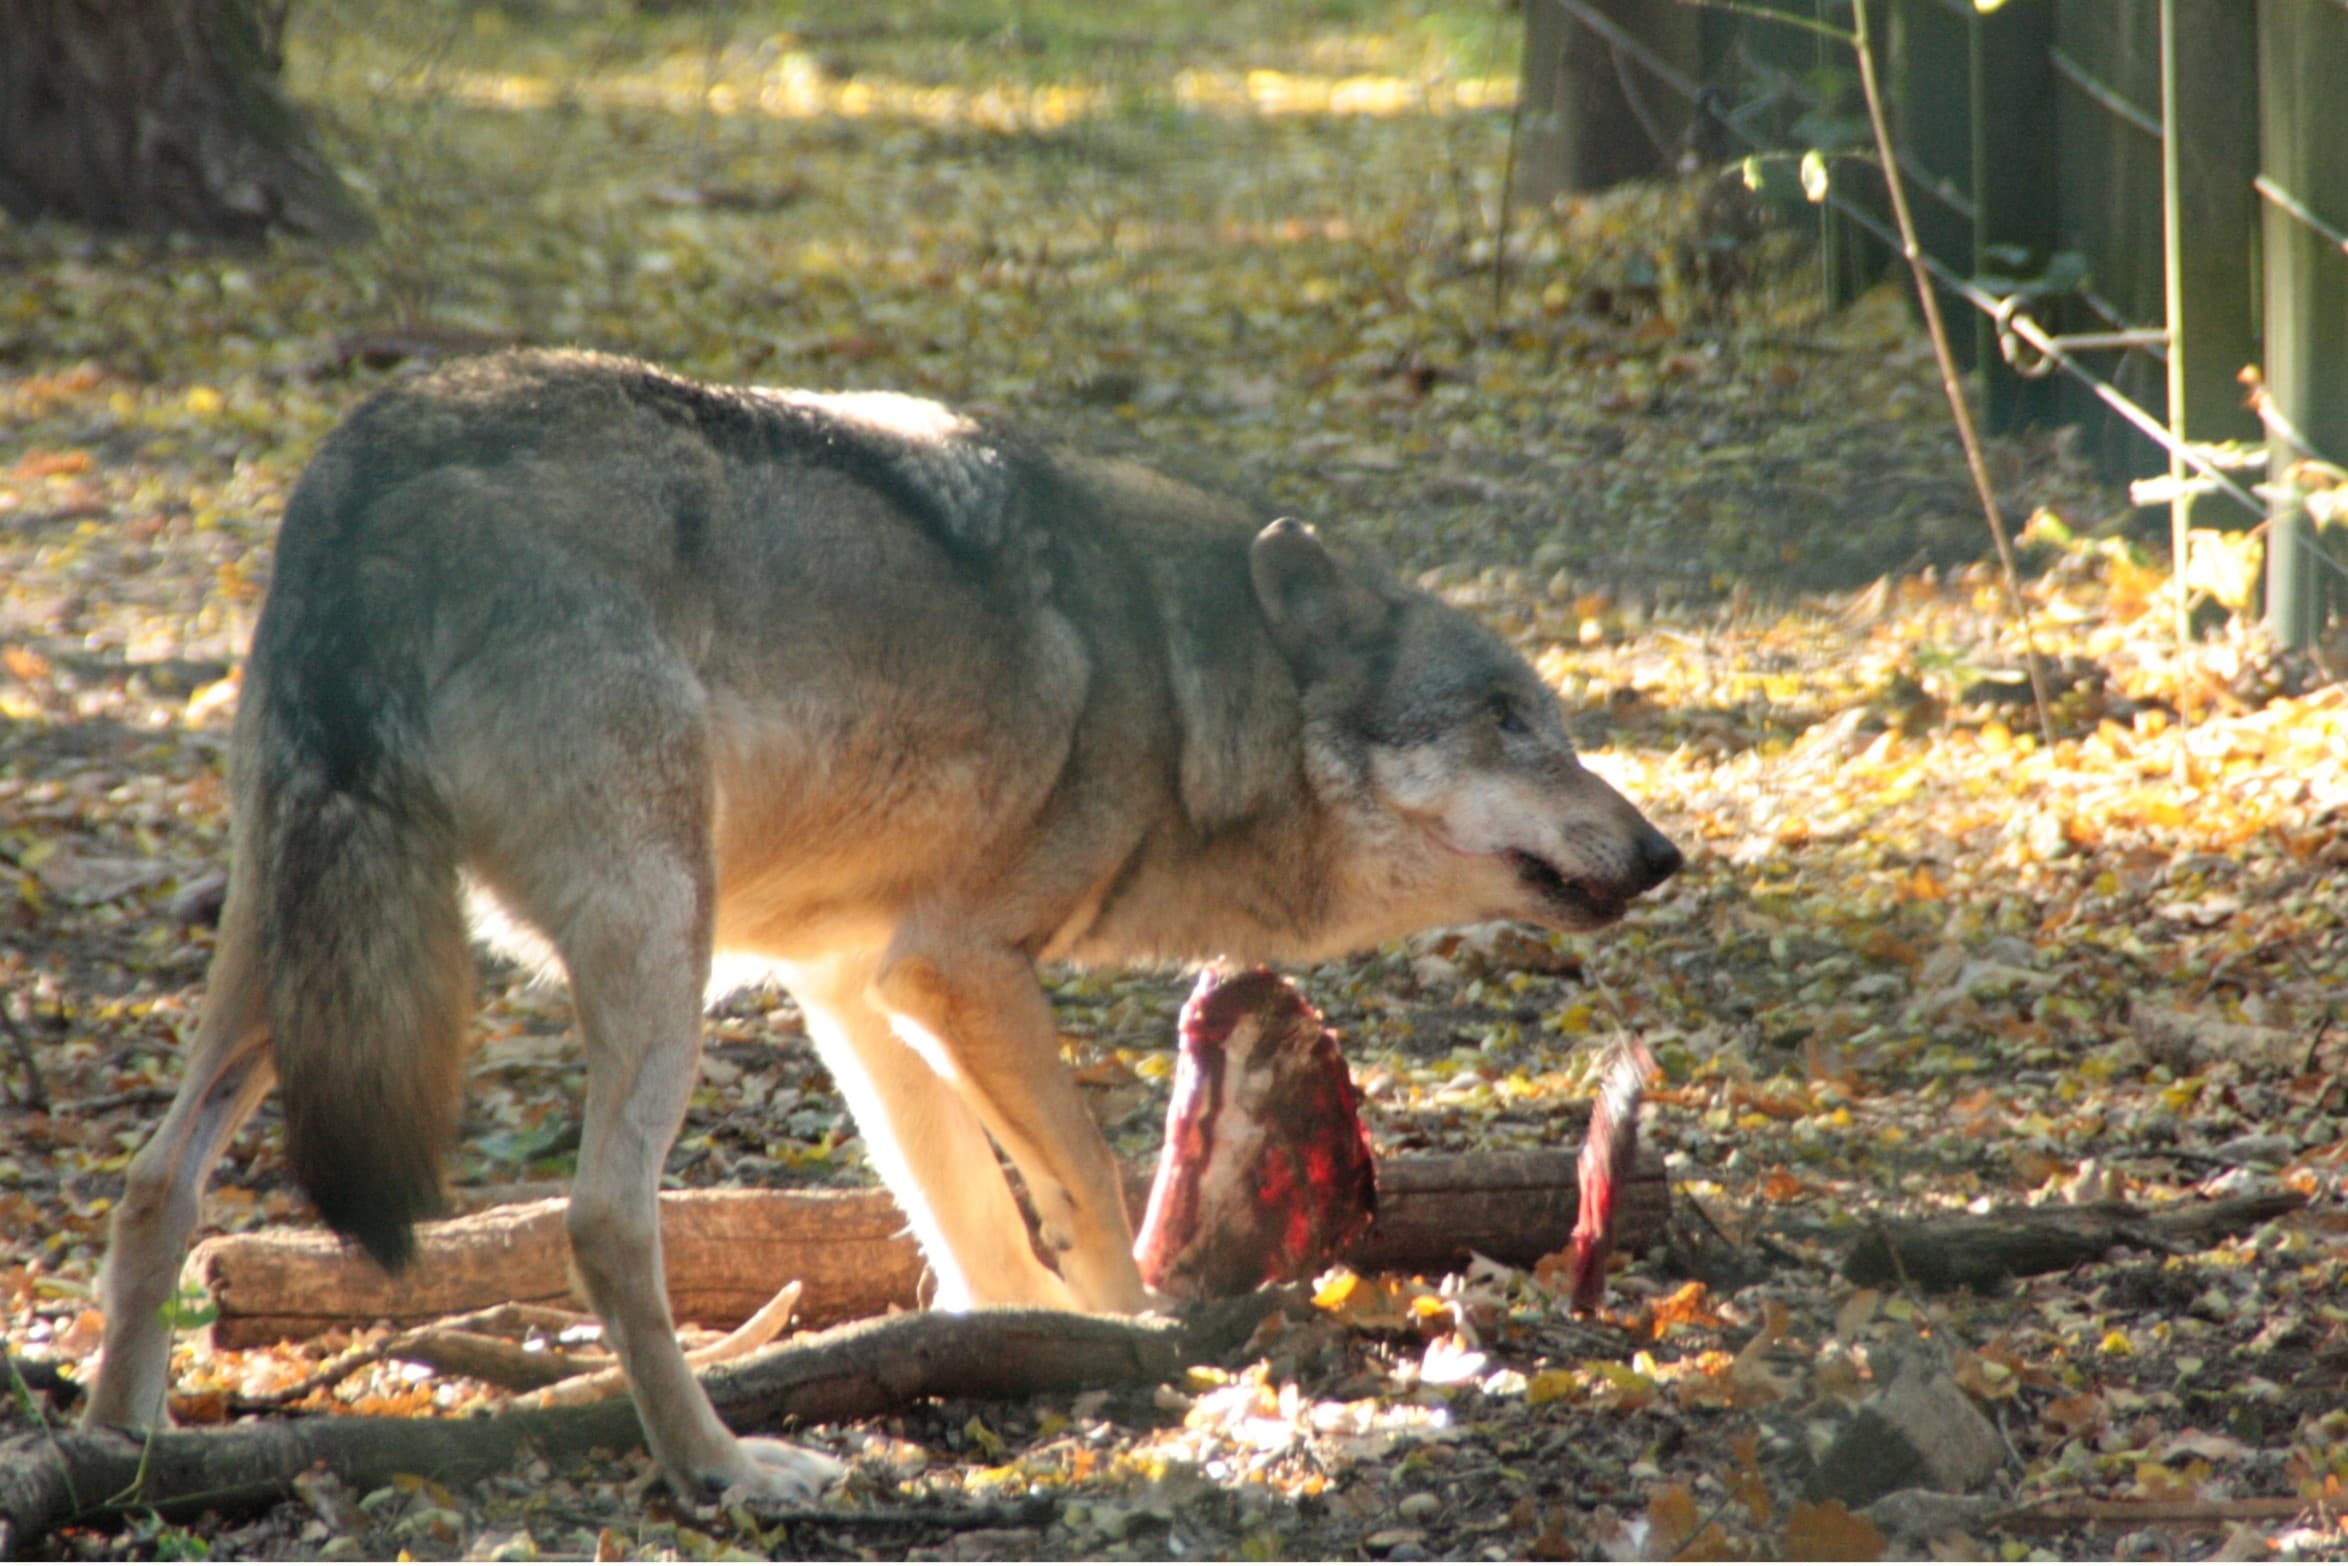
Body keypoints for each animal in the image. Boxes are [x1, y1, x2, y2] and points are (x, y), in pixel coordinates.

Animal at [84, 349, 1682, 1503]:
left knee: (155, 1182)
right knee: (604, 1221)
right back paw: (725, 1466)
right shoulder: (954, 971)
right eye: (1506, 722)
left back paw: (123, 1448)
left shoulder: (855, 991)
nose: (1663, 852)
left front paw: (1000, 1347)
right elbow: (1082, 1184)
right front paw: (1138, 1347)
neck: (1181, 684)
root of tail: (363, 468)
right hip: (655, 952)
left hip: (291, 964)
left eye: (1555, 723)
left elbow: (965, 1210)